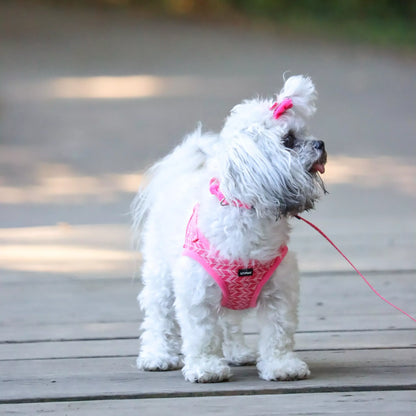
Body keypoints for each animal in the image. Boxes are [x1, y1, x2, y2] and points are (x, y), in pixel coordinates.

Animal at [132, 75, 326, 384]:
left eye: (304, 133)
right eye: (289, 140)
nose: (321, 143)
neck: (247, 213)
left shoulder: (279, 294)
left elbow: (278, 334)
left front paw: (281, 366)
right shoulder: (197, 294)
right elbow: (202, 337)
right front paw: (206, 368)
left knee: (229, 322)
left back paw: (237, 352)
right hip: (160, 277)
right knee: (159, 318)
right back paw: (158, 355)